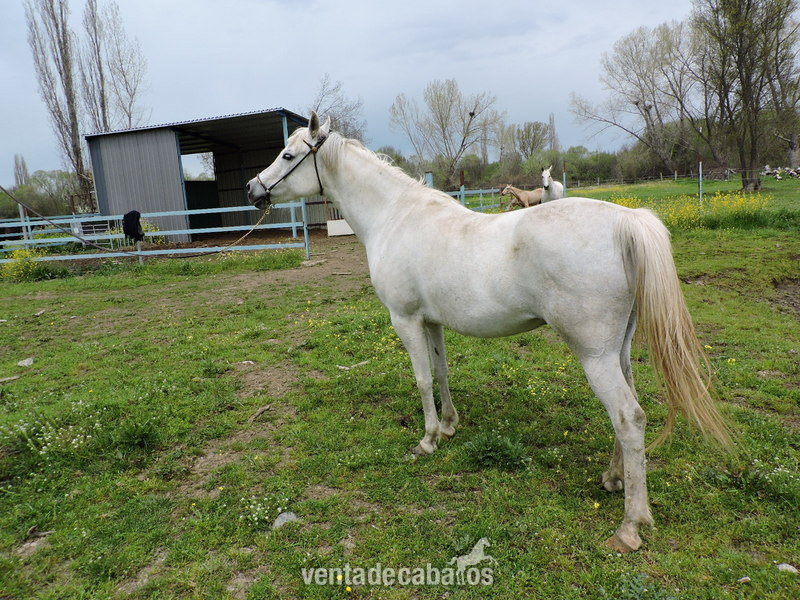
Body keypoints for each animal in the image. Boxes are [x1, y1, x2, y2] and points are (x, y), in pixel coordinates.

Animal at [246, 113, 730, 553]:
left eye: (287, 155)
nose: (253, 189)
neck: (395, 217)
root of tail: (624, 222)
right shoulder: (432, 322)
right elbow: (441, 374)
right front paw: (448, 426)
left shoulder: (405, 320)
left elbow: (422, 380)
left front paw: (426, 440)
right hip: (619, 351)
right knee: (627, 410)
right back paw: (613, 479)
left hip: (594, 355)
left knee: (629, 418)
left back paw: (630, 526)